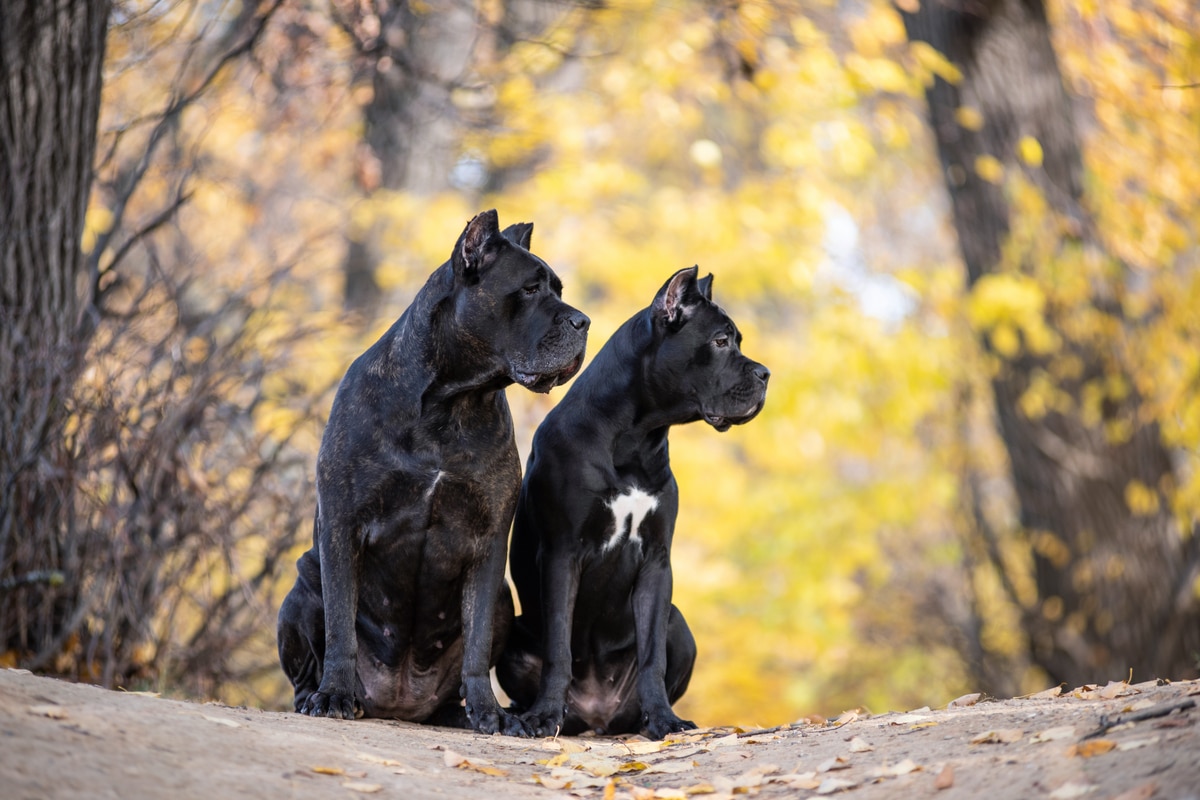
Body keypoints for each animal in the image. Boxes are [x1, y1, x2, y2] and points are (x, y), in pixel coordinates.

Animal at [276, 209, 585, 734]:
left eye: (558, 290)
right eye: (529, 289)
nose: (583, 321)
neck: (451, 402)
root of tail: (398, 703)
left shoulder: (488, 543)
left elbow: (476, 643)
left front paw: (488, 712)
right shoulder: (341, 524)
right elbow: (340, 624)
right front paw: (334, 694)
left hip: (503, 601)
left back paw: (463, 713)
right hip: (301, 588)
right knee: (308, 660)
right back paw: (322, 696)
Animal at [496, 263, 768, 738]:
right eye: (720, 341)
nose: (766, 374)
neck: (636, 436)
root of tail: (596, 716)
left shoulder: (657, 561)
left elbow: (651, 655)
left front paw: (663, 719)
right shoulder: (562, 553)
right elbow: (559, 647)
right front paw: (543, 716)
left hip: (679, 624)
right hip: (512, 633)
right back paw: (529, 714)